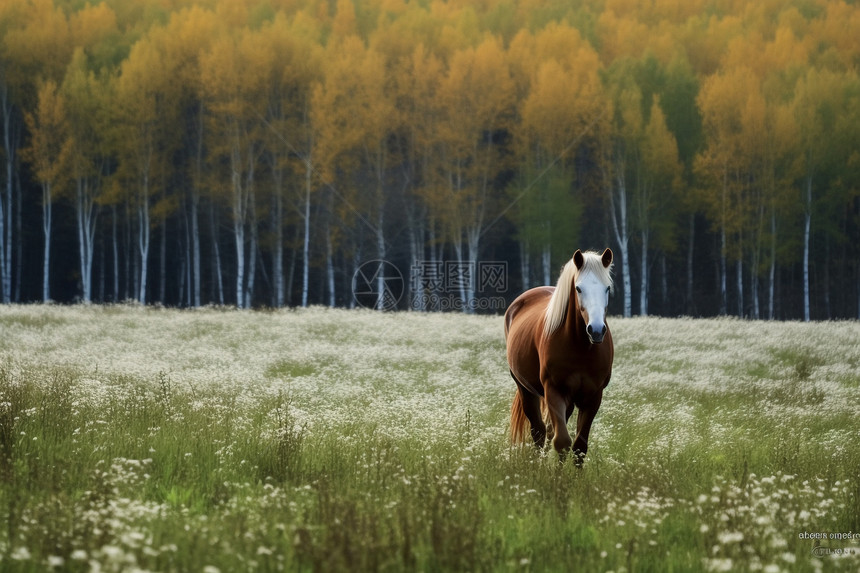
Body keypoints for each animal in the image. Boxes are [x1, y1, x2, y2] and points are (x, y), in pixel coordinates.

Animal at [508, 248, 616, 462]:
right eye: (578, 288)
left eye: (607, 288)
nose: (596, 330)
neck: (581, 347)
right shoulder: (554, 391)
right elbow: (562, 443)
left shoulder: (593, 396)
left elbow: (579, 447)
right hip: (526, 389)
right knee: (539, 432)